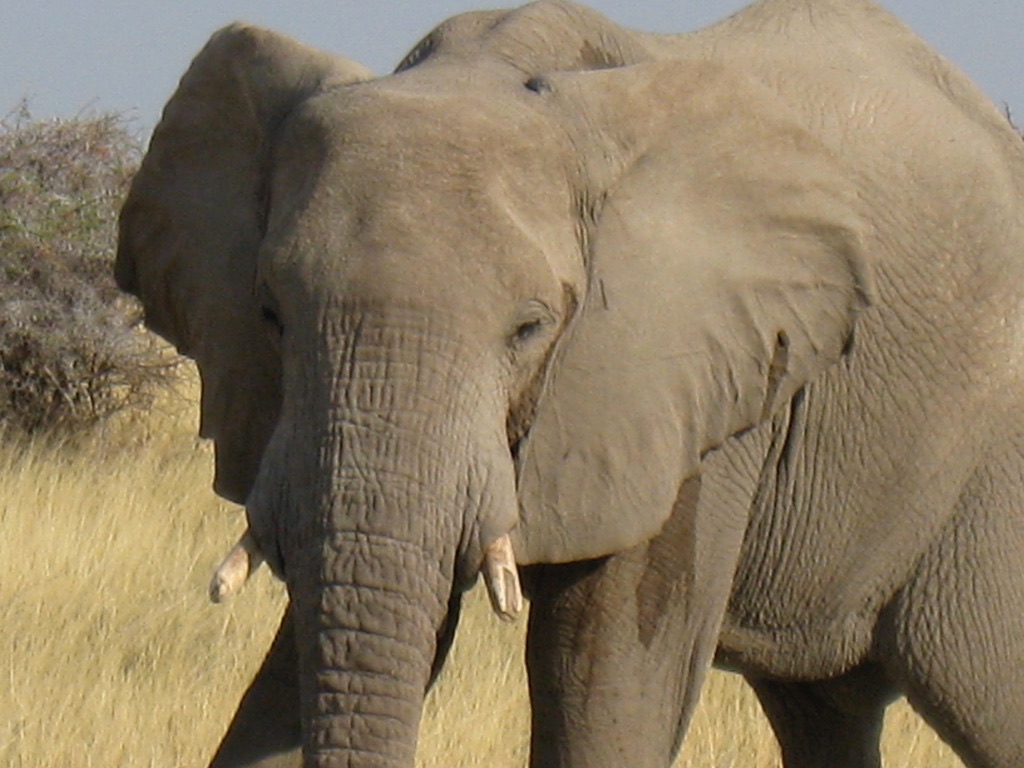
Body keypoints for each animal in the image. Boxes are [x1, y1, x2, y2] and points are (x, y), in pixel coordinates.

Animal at [116, 1, 1024, 768]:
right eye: (270, 312)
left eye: (530, 329)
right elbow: (302, 661)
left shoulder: (684, 381)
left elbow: (606, 683)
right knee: (825, 708)